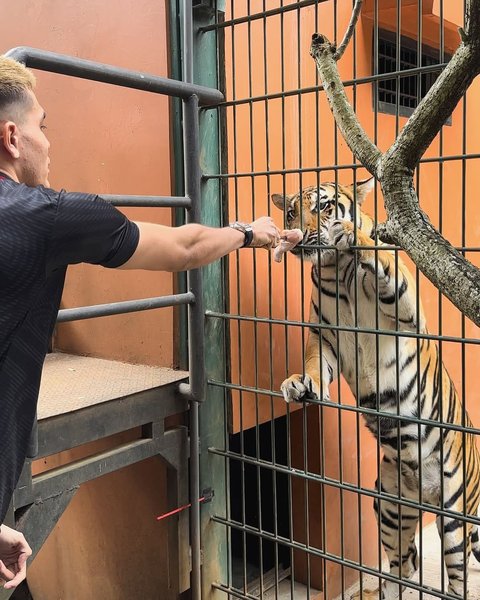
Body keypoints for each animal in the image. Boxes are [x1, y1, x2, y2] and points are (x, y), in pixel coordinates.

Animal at [272, 179, 478, 600]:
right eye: (291, 212)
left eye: (325, 206)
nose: (299, 234)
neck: (336, 270)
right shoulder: (326, 336)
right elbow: (315, 364)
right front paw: (301, 383)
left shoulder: (406, 310)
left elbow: (379, 254)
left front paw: (352, 234)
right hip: (390, 508)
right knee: (404, 564)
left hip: (455, 517)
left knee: (459, 575)